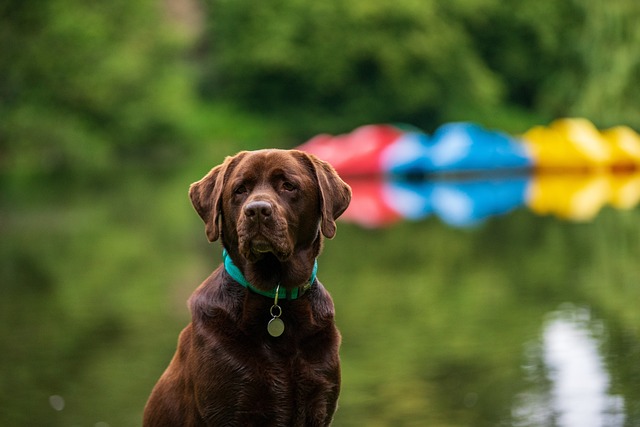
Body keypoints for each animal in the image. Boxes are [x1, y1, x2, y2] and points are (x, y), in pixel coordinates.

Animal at [144, 149, 350, 426]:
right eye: (240, 189)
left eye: (288, 185)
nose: (257, 210)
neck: (276, 294)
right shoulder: (230, 407)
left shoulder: (318, 403)